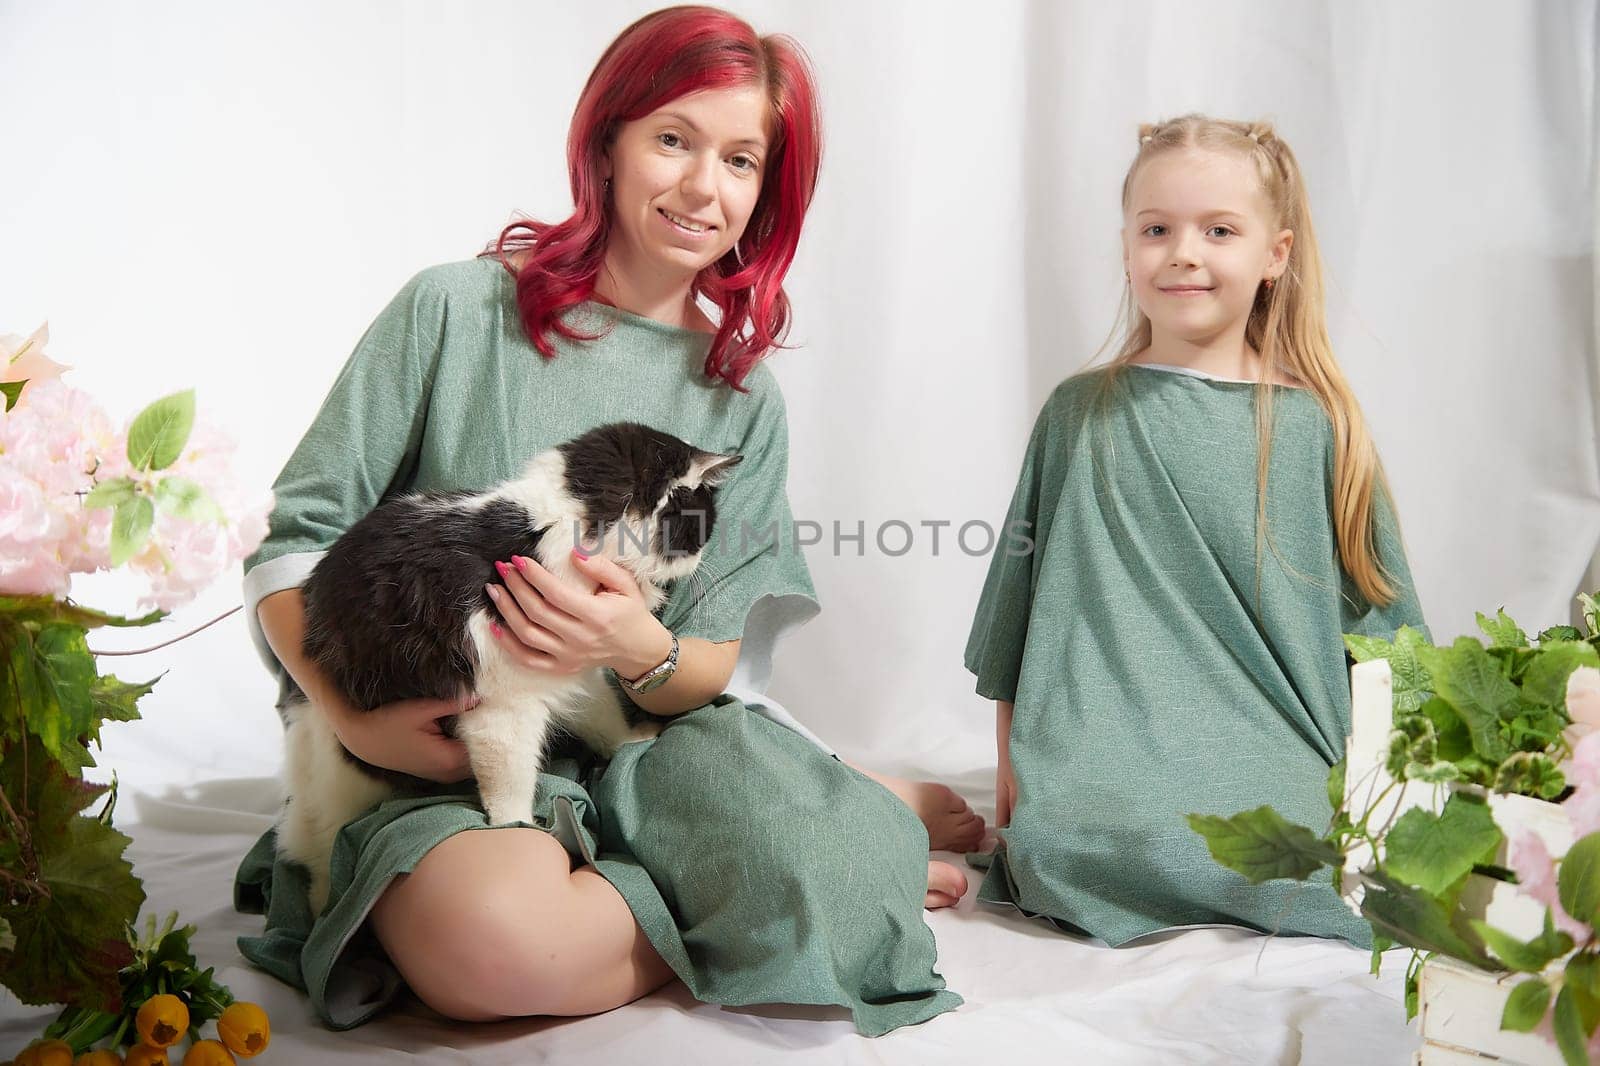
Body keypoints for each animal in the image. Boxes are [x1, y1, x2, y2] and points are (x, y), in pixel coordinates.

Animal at [280, 419, 736, 909]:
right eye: (699, 528)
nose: (701, 560)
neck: (555, 528)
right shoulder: (502, 712)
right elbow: (510, 785)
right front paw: (516, 827)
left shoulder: (576, 671)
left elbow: (605, 718)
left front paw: (631, 739)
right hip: (344, 781)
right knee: (321, 853)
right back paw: (322, 906)